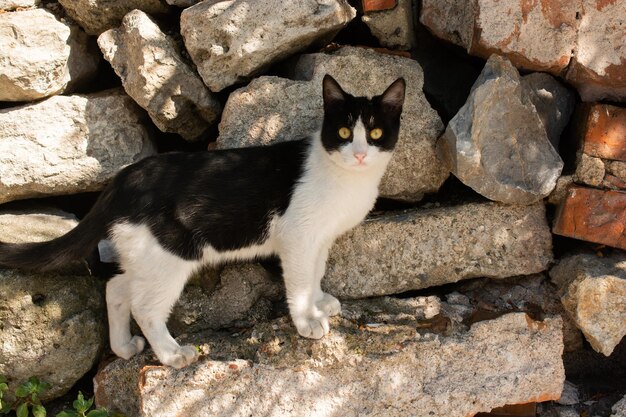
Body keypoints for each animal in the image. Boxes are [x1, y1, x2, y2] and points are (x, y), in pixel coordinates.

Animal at [0, 75, 404, 368]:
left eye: (375, 134)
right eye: (344, 133)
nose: (360, 154)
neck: (345, 179)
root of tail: (124, 178)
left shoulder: (320, 239)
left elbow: (316, 272)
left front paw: (319, 302)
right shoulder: (298, 237)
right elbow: (300, 280)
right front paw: (306, 319)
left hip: (145, 254)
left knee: (115, 288)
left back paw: (123, 346)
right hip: (169, 256)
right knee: (144, 307)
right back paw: (171, 355)